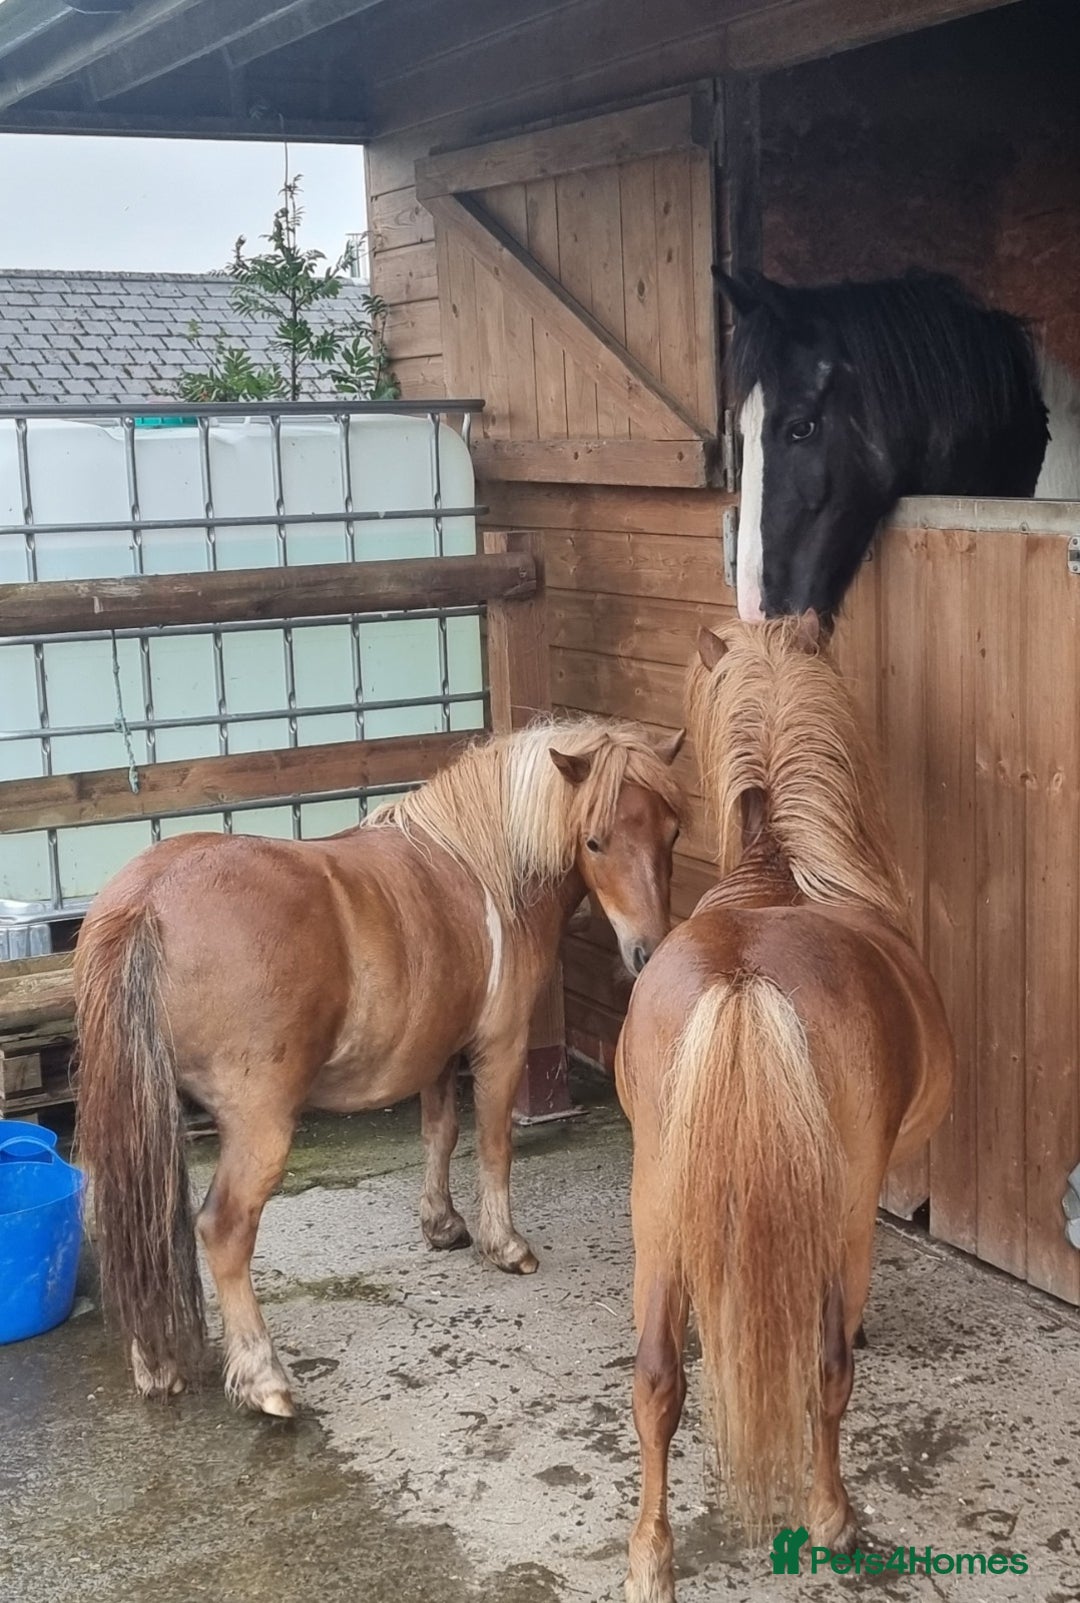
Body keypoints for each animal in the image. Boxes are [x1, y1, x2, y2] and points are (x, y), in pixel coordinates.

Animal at [74, 716, 685, 1419]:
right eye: (594, 840)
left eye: (672, 832)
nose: (649, 954)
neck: (480, 868)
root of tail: (145, 902)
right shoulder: (500, 1047)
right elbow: (494, 1145)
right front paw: (505, 1246)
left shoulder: (438, 1052)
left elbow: (440, 1134)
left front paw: (443, 1225)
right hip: (259, 1125)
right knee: (223, 1229)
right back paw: (264, 1379)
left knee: (132, 1223)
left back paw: (156, 1366)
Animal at [615, 614, 954, 1603]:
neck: (786, 871)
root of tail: (740, 976)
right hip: (834, 1213)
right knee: (828, 1364)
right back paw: (832, 1518)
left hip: (656, 1203)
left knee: (656, 1377)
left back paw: (649, 1558)